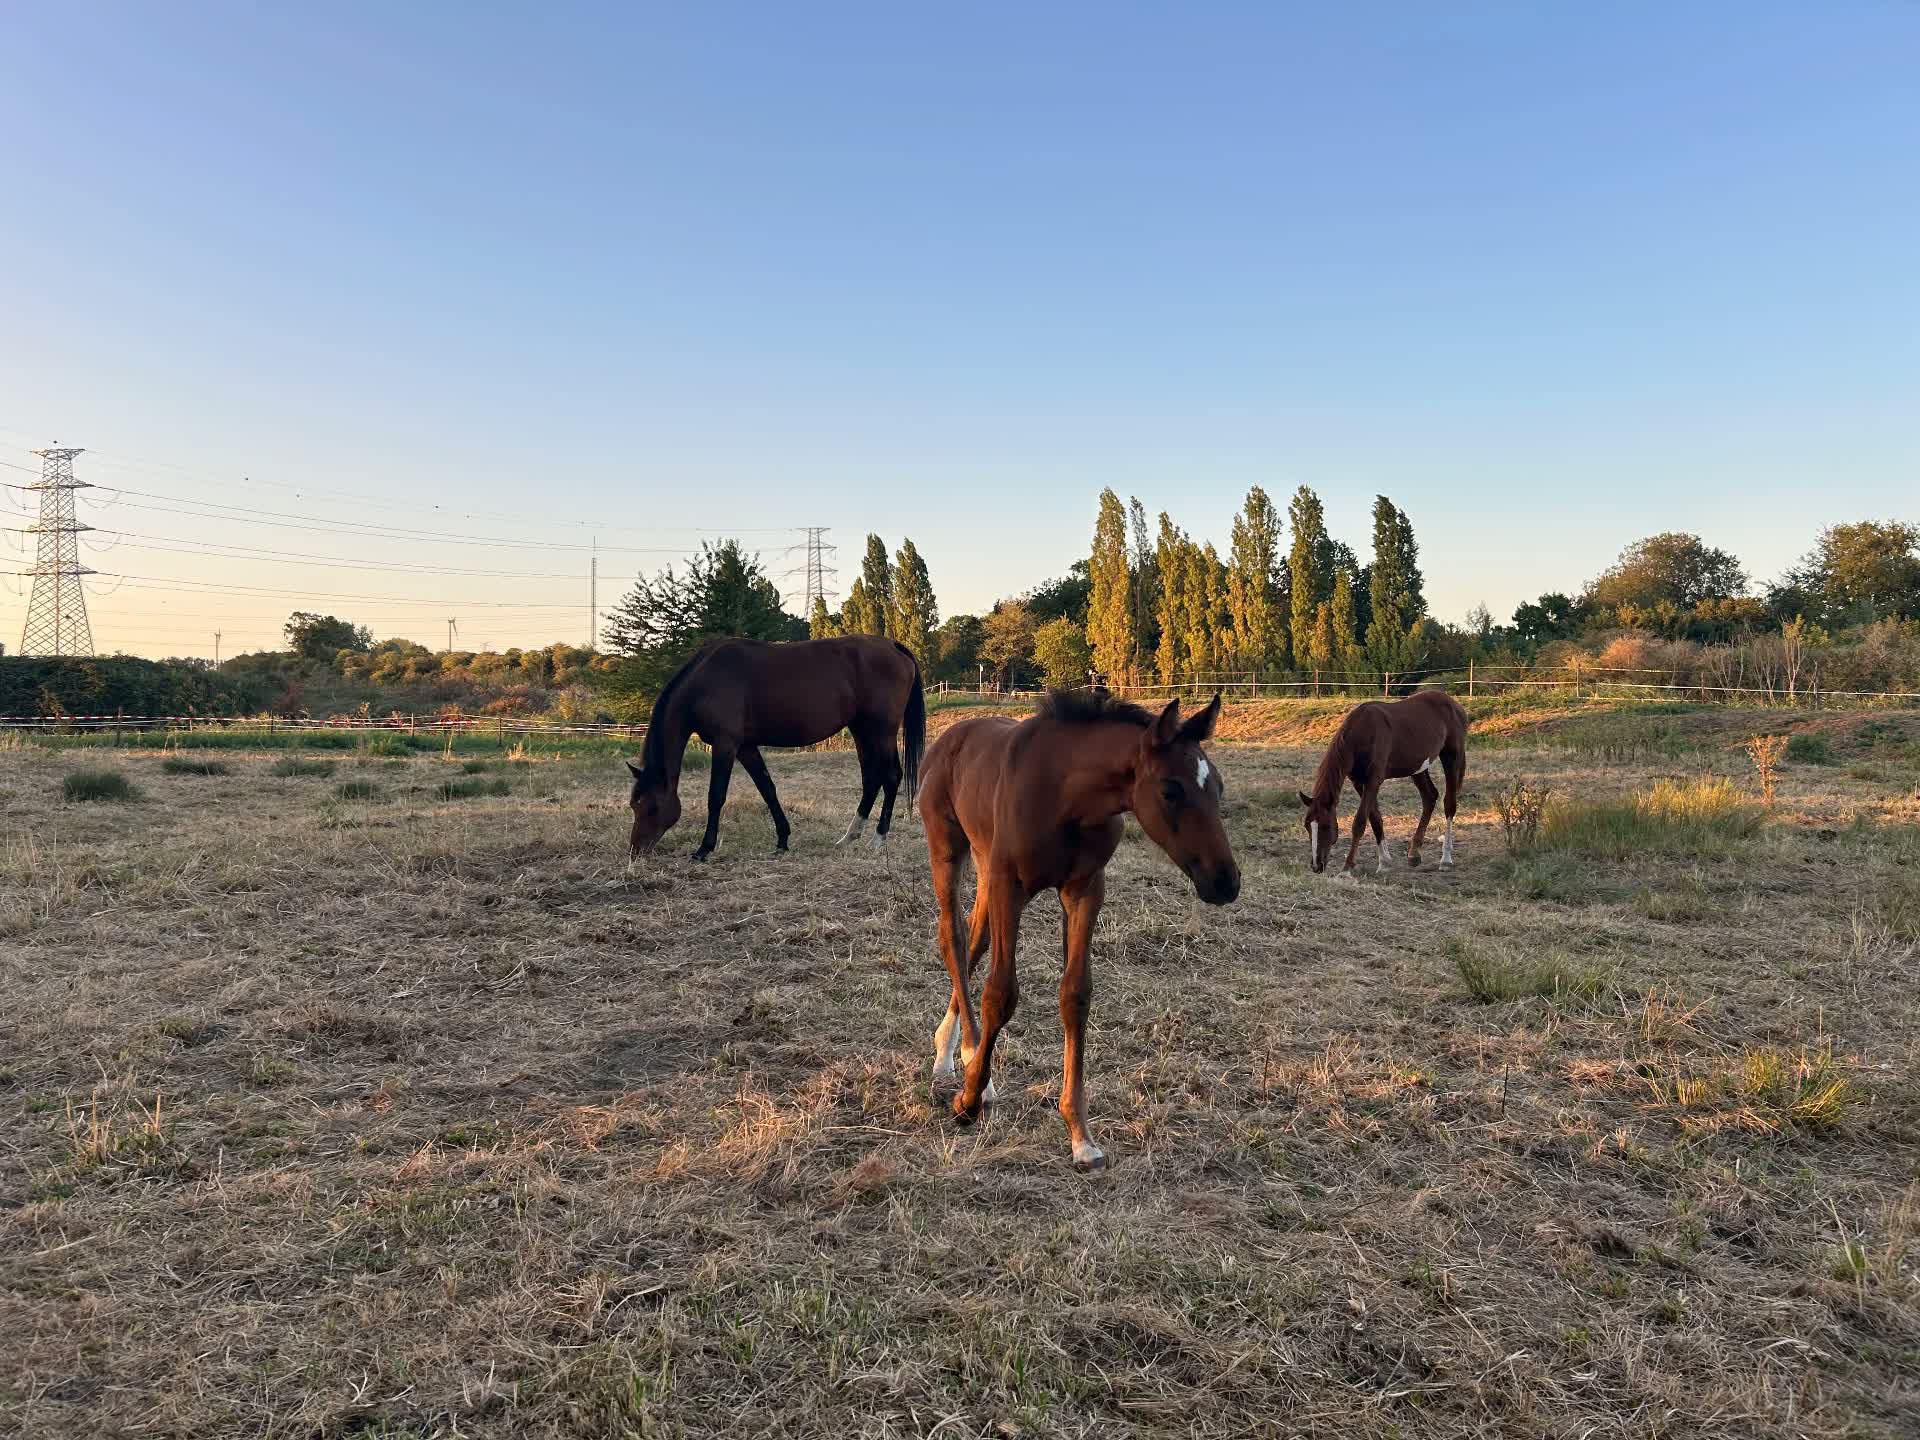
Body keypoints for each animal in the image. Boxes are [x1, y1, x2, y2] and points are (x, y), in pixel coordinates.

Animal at [627, 634, 925, 860]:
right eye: (633, 805)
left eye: (650, 806)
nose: (636, 851)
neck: (706, 681)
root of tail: (893, 646)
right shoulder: (746, 747)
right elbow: (767, 789)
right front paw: (782, 840)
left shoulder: (726, 745)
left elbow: (716, 796)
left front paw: (704, 849)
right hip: (861, 729)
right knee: (871, 780)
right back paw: (849, 837)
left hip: (882, 730)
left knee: (891, 777)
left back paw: (878, 839)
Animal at [917, 689, 1241, 1172]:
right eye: (1171, 789)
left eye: (1217, 786)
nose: (1225, 882)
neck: (1066, 797)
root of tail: (949, 737)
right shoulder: (1010, 886)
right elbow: (1000, 993)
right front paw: (968, 1102)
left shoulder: (1084, 890)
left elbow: (1075, 996)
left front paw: (1080, 1135)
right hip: (949, 850)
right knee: (952, 939)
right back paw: (970, 1063)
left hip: (983, 861)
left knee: (974, 940)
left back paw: (959, 1051)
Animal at [1299, 689, 1468, 877]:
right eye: (1307, 826)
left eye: (1326, 826)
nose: (1316, 866)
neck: (1363, 733)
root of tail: (1454, 705)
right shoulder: (1359, 782)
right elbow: (1375, 818)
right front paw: (1384, 862)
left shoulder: (1374, 781)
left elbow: (1359, 822)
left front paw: (1347, 868)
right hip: (1417, 769)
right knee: (1429, 797)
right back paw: (1414, 854)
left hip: (1451, 758)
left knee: (1449, 805)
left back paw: (1446, 858)